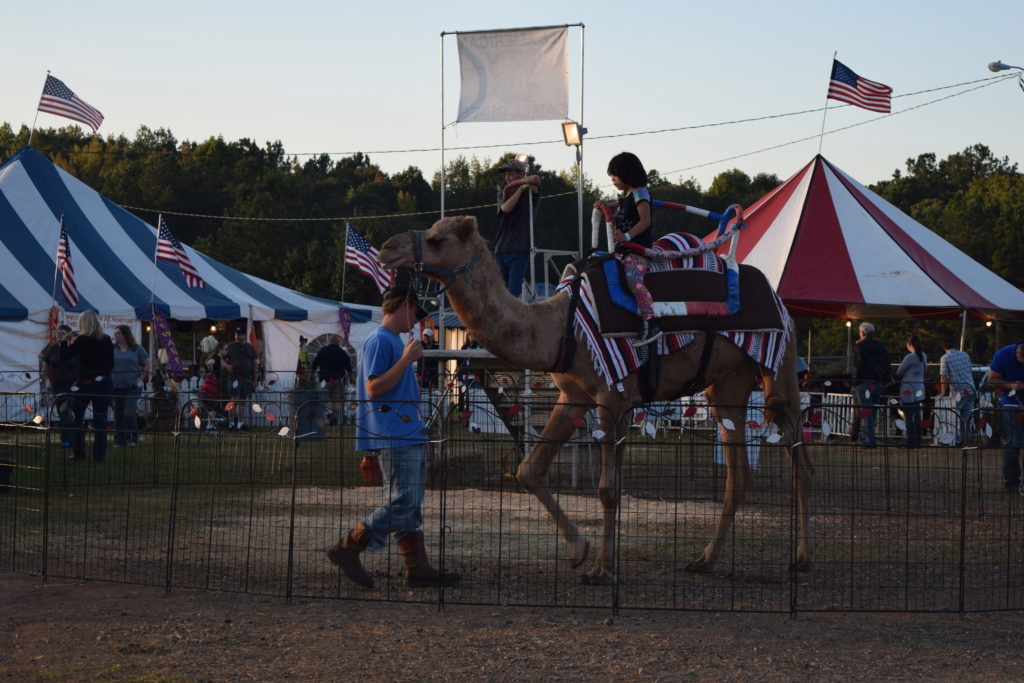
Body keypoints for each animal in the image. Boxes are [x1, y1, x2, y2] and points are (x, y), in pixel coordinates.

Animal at [378, 215, 815, 581]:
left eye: (437, 240)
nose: (386, 247)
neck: (558, 327)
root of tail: (778, 300)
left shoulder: (614, 396)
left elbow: (607, 489)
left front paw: (604, 568)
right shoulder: (573, 395)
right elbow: (529, 470)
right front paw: (580, 551)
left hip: (780, 361)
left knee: (798, 456)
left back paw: (800, 559)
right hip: (728, 383)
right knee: (738, 475)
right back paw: (704, 559)